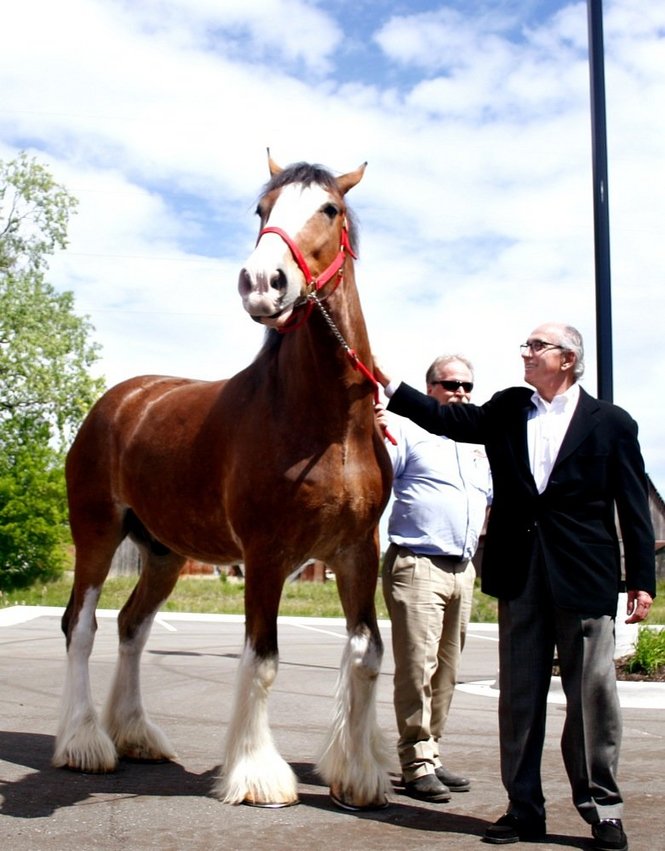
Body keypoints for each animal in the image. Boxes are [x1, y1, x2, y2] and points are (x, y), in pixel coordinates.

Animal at [54, 155, 394, 812]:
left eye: (330, 208)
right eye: (262, 209)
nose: (262, 282)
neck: (328, 426)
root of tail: (120, 399)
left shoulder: (356, 551)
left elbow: (367, 655)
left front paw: (360, 776)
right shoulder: (264, 555)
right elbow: (262, 659)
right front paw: (258, 776)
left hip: (162, 553)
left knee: (132, 627)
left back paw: (135, 733)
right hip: (97, 535)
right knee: (81, 626)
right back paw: (85, 743)